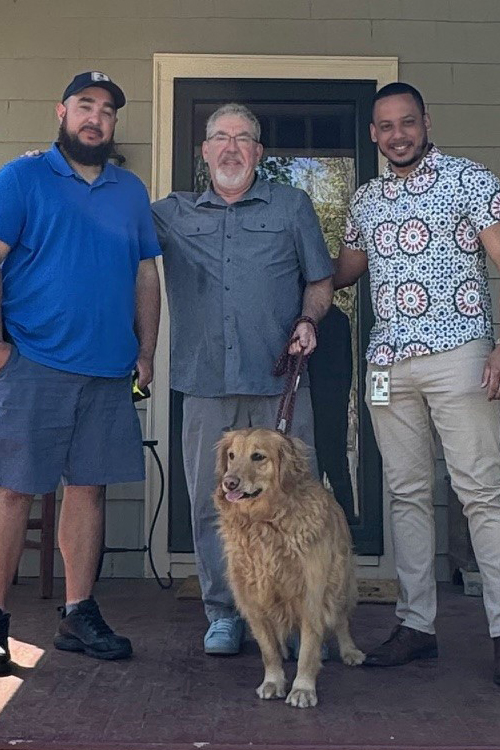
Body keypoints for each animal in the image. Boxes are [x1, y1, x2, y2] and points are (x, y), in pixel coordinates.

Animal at [213, 428, 366, 712]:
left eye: (258, 456)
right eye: (231, 455)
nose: (229, 482)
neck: (264, 522)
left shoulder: (312, 595)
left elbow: (307, 650)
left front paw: (303, 688)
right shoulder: (252, 599)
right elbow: (268, 649)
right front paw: (273, 681)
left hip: (340, 583)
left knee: (341, 621)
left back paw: (350, 651)